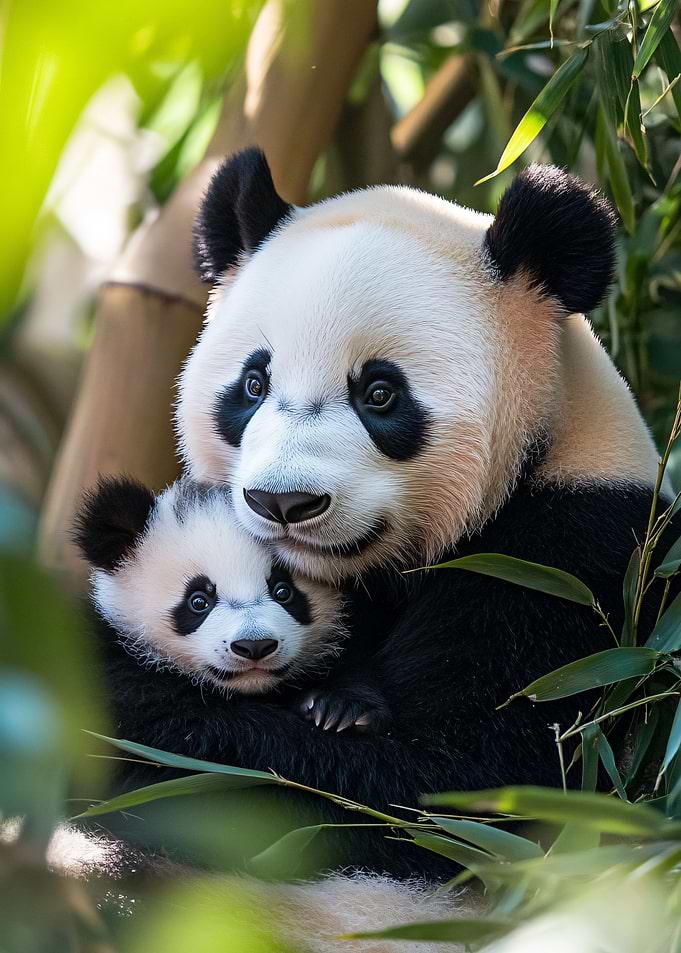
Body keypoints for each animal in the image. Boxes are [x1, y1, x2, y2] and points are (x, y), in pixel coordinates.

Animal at [170, 148, 681, 884]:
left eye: (380, 393)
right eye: (253, 384)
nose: (284, 502)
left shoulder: (571, 571)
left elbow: (443, 791)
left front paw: (341, 710)